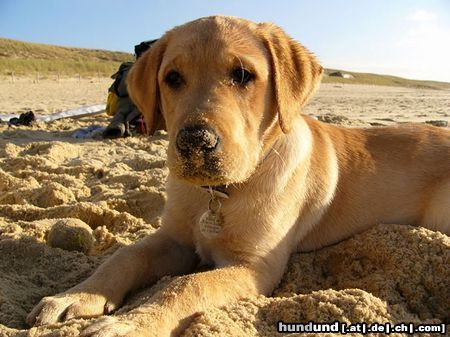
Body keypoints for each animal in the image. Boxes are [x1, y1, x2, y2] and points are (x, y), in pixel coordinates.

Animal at [29, 15, 450, 334]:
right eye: (172, 78)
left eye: (244, 74)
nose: (195, 141)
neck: (215, 193)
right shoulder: (173, 239)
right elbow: (125, 256)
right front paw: (74, 296)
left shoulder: (254, 266)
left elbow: (186, 285)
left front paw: (129, 325)